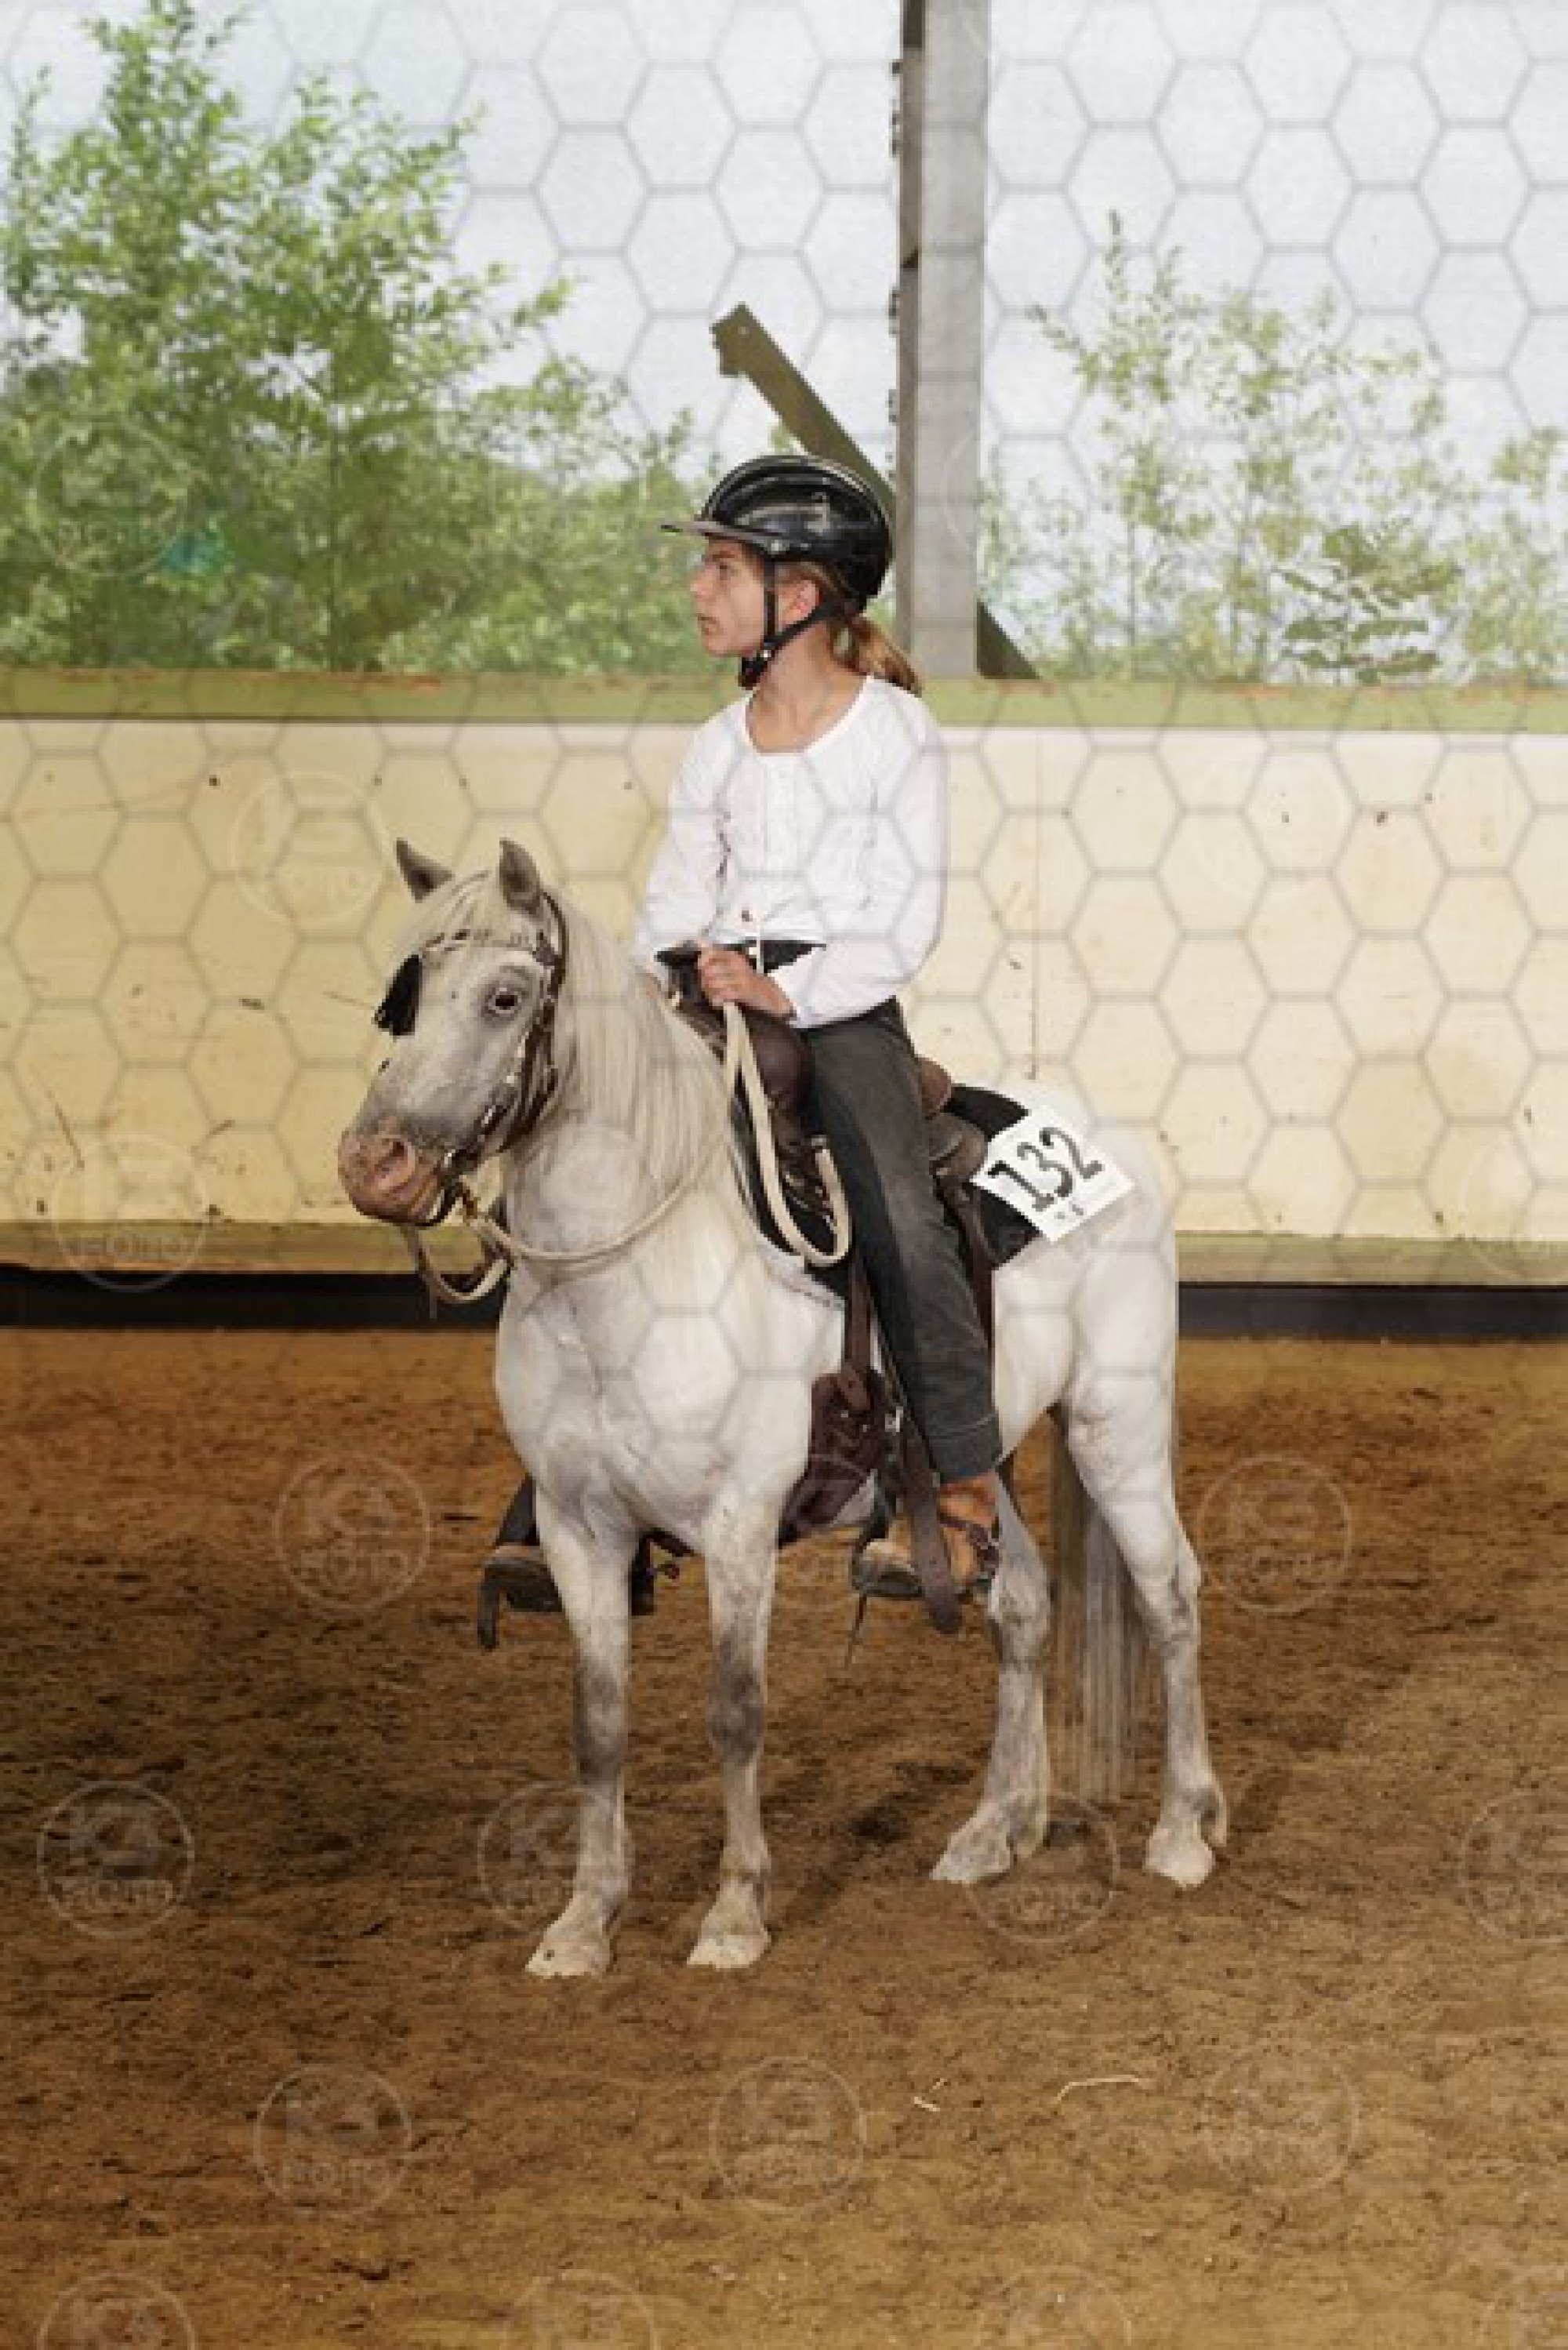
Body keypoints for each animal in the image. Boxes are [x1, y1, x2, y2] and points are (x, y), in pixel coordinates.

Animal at [337, 837, 1226, 1977]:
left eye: (504, 996)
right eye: (404, 999)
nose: (377, 1164)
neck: (635, 1268)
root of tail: (1117, 1140)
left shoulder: (739, 1524)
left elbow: (735, 1713)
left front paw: (733, 1913)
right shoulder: (581, 1530)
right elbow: (598, 1723)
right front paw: (583, 1922)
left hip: (1118, 1423)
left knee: (1171, 1596)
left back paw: (1181, 1833)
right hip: (978, 1451)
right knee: (1023, 1605)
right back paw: (995, 1830)